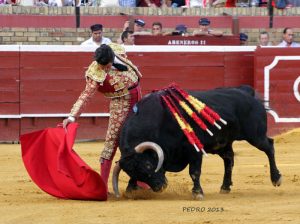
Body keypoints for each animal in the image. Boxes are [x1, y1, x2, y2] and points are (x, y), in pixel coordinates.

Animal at [112, 86, 282, 200]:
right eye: (131, 171)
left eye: (148, 165)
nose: (159, 187)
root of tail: (246, 92)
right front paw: (130, 189)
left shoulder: (194, 151)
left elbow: (194, 172)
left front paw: (198, 193)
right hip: (223, 143)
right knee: (229, 159)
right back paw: (225, 187)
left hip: (255, 135)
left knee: (269, 147)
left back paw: (276, 178)